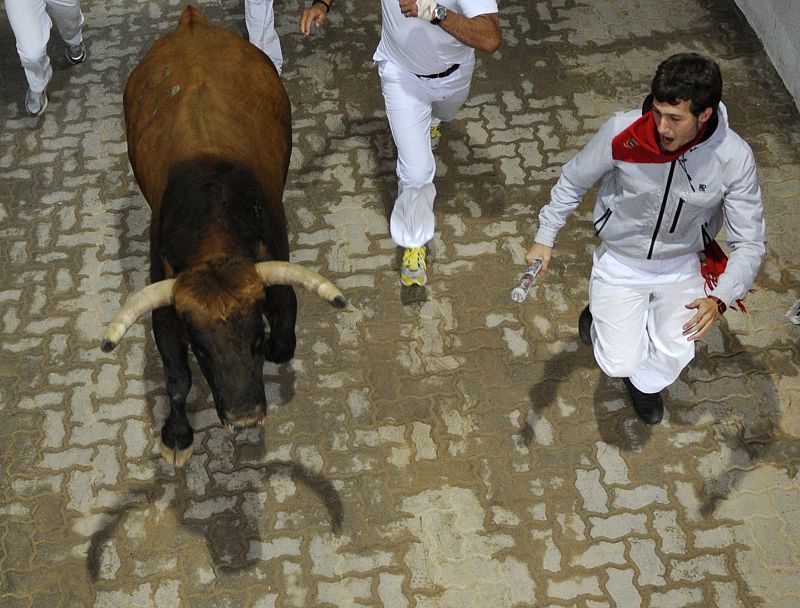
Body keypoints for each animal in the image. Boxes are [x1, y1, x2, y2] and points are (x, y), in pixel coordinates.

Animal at [101, 5, 344, 466]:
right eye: (201, 350)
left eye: (255, 339)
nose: (245, 418)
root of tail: (192, 21)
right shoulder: (166, 314)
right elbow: (177, 380)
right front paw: (177, 435)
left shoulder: (279, 290)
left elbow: (285, 342)